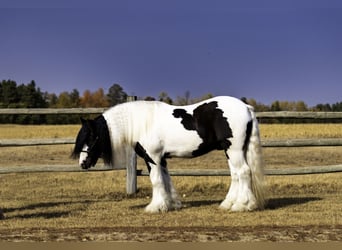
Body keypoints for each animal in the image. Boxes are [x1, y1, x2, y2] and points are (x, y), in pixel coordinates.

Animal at [71, 95, 264, 213]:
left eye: (92, 137)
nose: (82, 163)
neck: (142, 123)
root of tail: (246, 107)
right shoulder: (162, 159)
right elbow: (166, 179)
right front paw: (171, 204)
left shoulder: (153, 158)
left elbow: (156, 181)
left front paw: (154, 207)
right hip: (230, 150)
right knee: (236, 175)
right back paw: (228, 204)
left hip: (234, 150)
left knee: (244, 172)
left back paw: (241, 205)